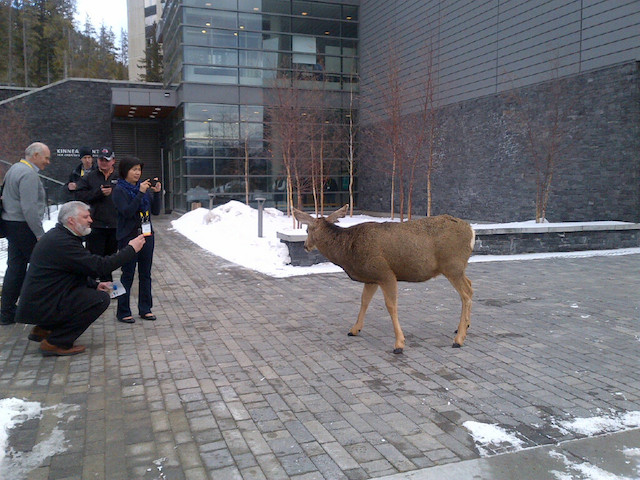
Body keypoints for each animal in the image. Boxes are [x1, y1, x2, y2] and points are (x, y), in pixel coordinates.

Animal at [292, 205, 475, 354]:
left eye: (307, 230)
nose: (305, 246)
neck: (348, 250)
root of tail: (472, 231)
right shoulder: (371, 278)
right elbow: (364, 301)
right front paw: (354, 329)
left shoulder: (385, 273)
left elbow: (391, 306)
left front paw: (399, 344)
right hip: (458, 268)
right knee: (471, 286)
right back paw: (464, 327)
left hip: (452, 265)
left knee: (465, 294)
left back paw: (459, 339)